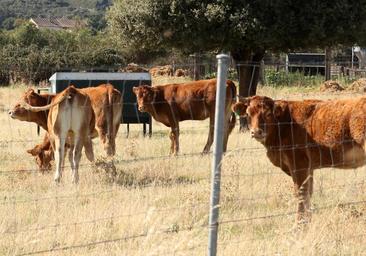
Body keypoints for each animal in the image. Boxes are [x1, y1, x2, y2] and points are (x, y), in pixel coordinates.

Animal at [233, 95, 366, 224]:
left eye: (268, 114)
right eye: (248, 114)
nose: (256, 132)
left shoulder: (298, 164)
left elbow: (301, 193)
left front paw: (299, 224)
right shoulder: (309, 167)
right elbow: (308, 193)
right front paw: (307, 222)